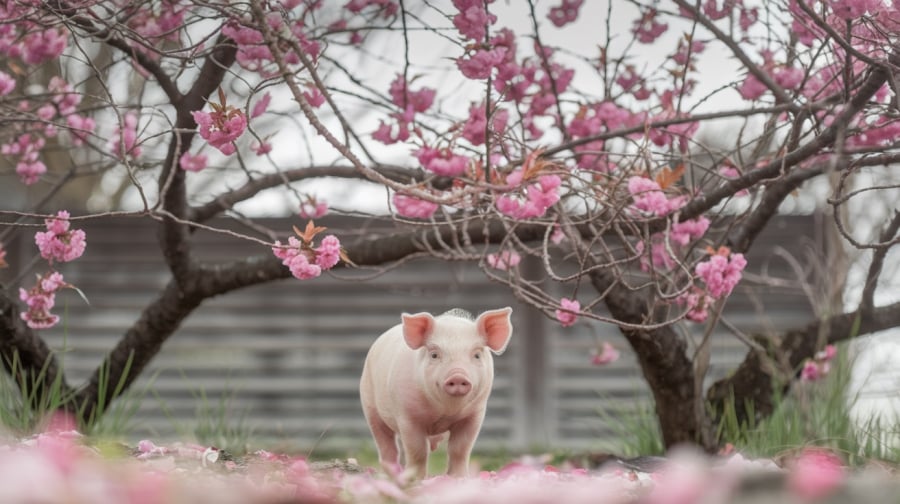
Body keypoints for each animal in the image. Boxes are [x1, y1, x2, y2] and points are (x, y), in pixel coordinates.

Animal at [358, 306, 512, 478]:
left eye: (477, 355)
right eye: (434, 355)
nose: (457, 376)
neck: (445, 411)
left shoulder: (474, 415)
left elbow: (460, 448)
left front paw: (458, 477)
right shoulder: (407, 416)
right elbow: (418, 450)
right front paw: (416, 479)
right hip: (370, 406)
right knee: (387, 444)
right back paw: (390, 476)